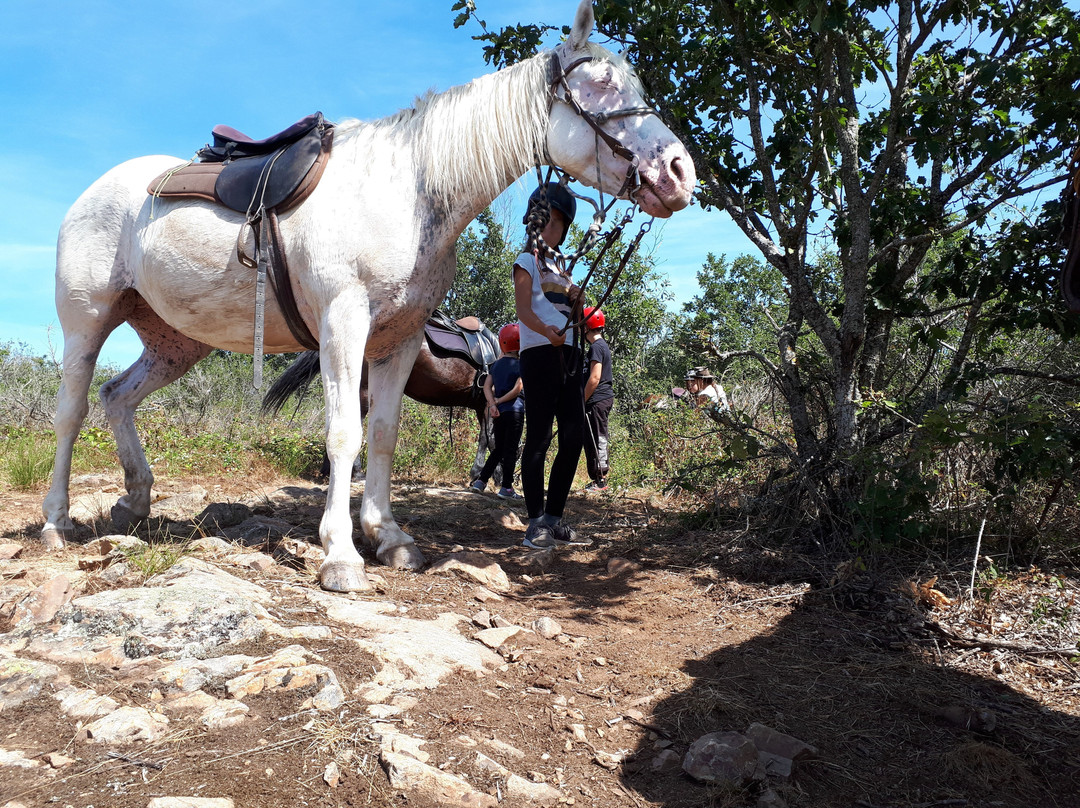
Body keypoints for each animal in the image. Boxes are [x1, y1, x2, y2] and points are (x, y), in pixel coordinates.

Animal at [42, 0, 695, 591]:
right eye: (602, 83)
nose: (680, 171)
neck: (409, 190)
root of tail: (95, 191)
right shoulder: (343, 326)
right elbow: (343, 436)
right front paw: (340, 554)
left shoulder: (398, 341)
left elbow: (382, 436)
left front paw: (387, 536)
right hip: (87, 321)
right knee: (72, 412)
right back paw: (55, 523)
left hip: (175, 343)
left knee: (118, 397)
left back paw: (134, 503)